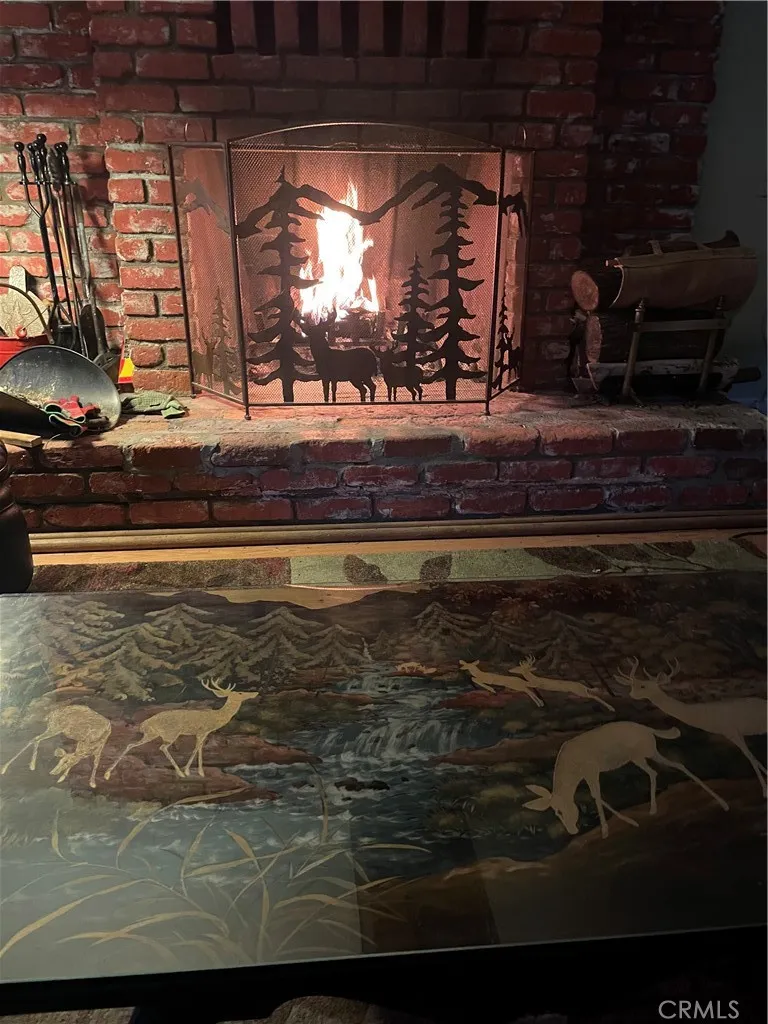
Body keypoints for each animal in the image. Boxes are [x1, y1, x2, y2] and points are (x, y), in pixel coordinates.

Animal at [104, 678, 259, 781]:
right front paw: (188, 771)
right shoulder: (202, 731)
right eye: (239, 693)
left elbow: (200, 748)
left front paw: (200, 772)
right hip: (170, 734)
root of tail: (144, 724)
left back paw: (107, 774)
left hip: (151, 734)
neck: (217, 717)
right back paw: (180, 773)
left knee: (130, 744)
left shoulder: (202, 733)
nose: (255, 693)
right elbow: (196, 748)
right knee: (162, 748)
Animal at [524, 720, 729, 839]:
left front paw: (608, 830)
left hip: (647, 753)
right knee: (655, 772)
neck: (570, 768)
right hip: (638, 758)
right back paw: (653, 809)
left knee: (677, 765)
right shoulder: (589, 773)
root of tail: (648, 729)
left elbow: (596, 795)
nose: (572, 830)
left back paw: (723, 803)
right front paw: (628, 823)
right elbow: (595, 795)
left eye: (559, 811)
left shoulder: (591, 770)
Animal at [614, 656, 768, 797]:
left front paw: (765, 791)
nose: (631, 694)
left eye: (643, 686)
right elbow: (752, 757)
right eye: (632, 684)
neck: (705, 715)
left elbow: (750, 757)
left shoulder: (733, 731)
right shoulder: (733, 734)